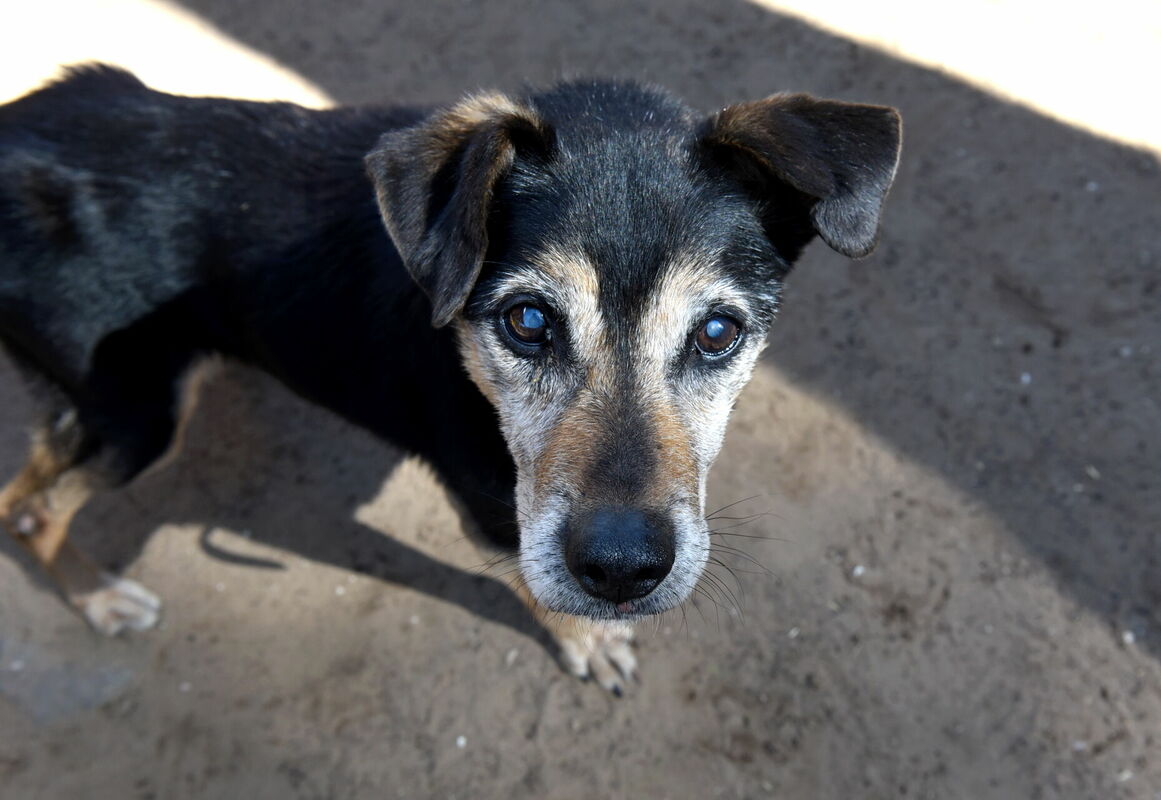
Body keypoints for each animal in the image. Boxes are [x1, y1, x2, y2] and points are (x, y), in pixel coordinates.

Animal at [0, 65, 900, 692]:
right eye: (527, 321)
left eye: (717, 333)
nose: (620, 573)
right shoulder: (493, 508)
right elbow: (539, 592)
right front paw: (588, 643)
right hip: (140, 414)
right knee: (38, 507)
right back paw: (101, 600)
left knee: (23, 490)